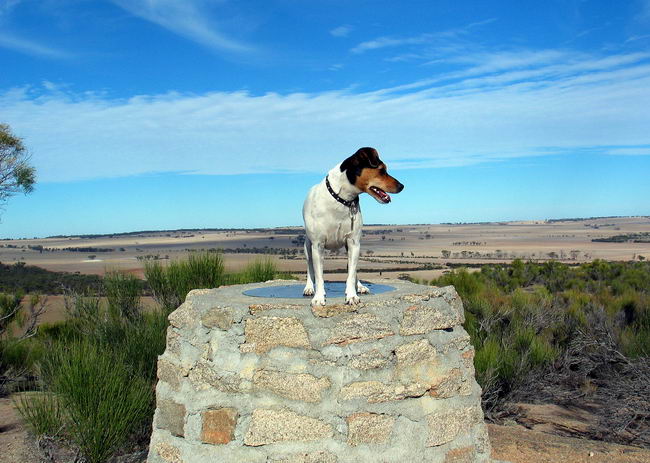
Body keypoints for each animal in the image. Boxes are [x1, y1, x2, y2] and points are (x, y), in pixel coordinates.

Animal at [302, 149, 402, 306]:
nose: (402, 186)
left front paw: (351, 295)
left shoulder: (354, 243)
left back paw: (360, 286)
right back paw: (309, 287)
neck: (342, 199)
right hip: (307, 246)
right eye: (382, 170)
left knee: (353, 271)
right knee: (310, 268)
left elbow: (351, 274)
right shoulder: (317, 245)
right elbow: (319, 276)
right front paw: (318, 297)